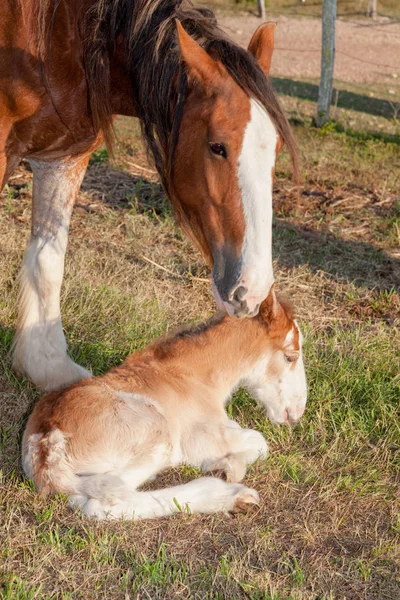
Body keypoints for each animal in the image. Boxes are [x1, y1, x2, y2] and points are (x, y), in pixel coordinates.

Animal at [0, 0, 296, 392]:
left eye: (276, 149)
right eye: (217, 146)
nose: (252, 290)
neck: (56, 36)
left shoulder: (64, 158)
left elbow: (47, 258)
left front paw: (49, 367)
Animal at [23, 288, 308, 520]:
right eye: (291, 356)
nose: (296, 412)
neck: (192, 374)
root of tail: (45, 446)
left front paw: (224, 465)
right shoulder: (199, 438)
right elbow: (259, 442)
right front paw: (227, 467)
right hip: (157, 432)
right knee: (101, 504)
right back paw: (231, 496)